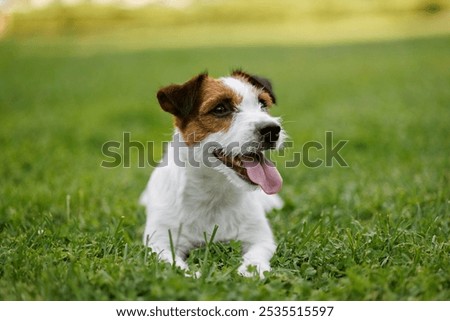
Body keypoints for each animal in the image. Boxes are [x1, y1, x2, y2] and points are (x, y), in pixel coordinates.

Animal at [141, 70, 286, 278]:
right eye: (220, 109)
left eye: (263, 104)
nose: (272, 130)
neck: (213, 194)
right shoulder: (159, 243)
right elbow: (173, 265)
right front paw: (193, 276)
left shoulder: (260, 238)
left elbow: (256, 256)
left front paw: (251, 271)